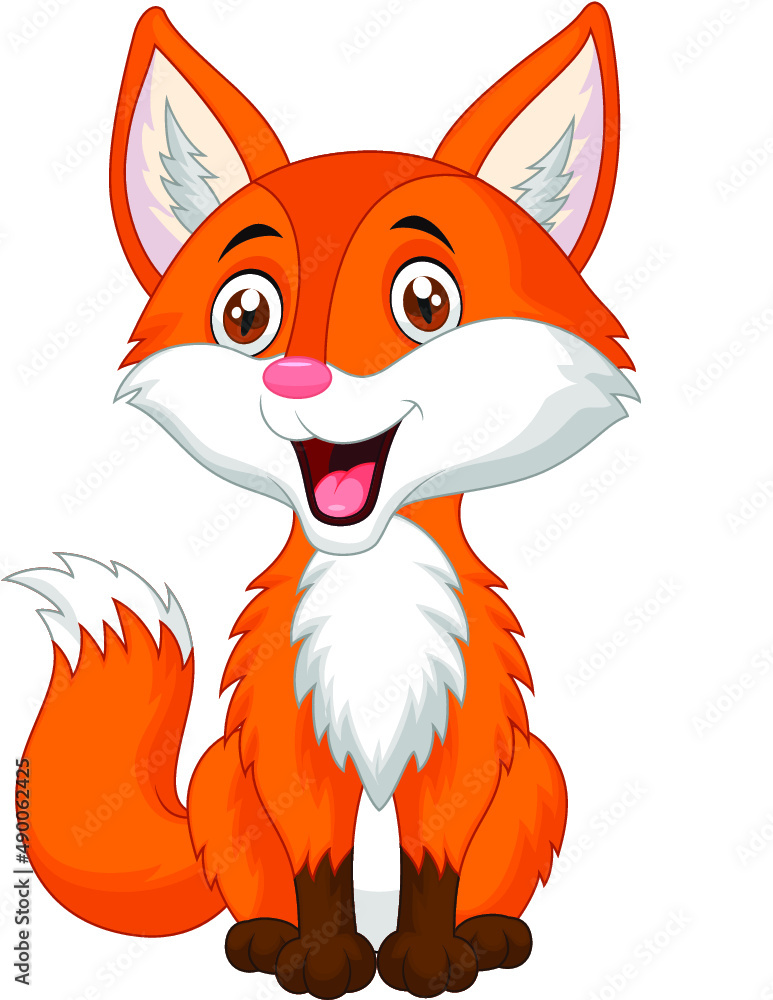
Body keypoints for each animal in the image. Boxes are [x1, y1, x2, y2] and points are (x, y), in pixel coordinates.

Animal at [9, 5, 637, 998]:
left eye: (425, 300)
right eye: (246, 314)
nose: (295, 377)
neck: (371, 591)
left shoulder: (458, 745)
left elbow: (430, 867)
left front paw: (425, 957)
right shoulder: (291, 745)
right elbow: (322, 871)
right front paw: (328, 958)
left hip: (537, 773)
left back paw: (492, 934)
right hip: (222, 780)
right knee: (252, 885)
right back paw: (260, 940)